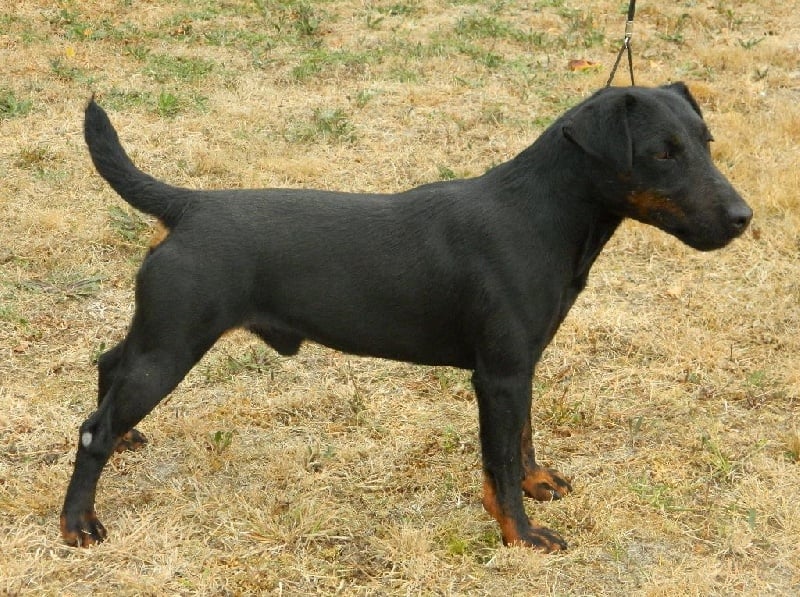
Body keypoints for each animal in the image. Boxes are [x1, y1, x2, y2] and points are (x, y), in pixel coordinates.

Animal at [61, 82, 752, 548]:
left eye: (706, 143)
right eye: (663, 154)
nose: (744, 217)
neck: (541, 214)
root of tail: (189, 205)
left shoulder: (520, 367)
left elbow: (522, 440)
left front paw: (538, 485)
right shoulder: (498, 375)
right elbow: (499, 462)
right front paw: (522, 535)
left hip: (160, 335)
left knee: (108, 367)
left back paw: (126, 442)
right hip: (173, 346)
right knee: (92, 429)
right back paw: (79, 522)